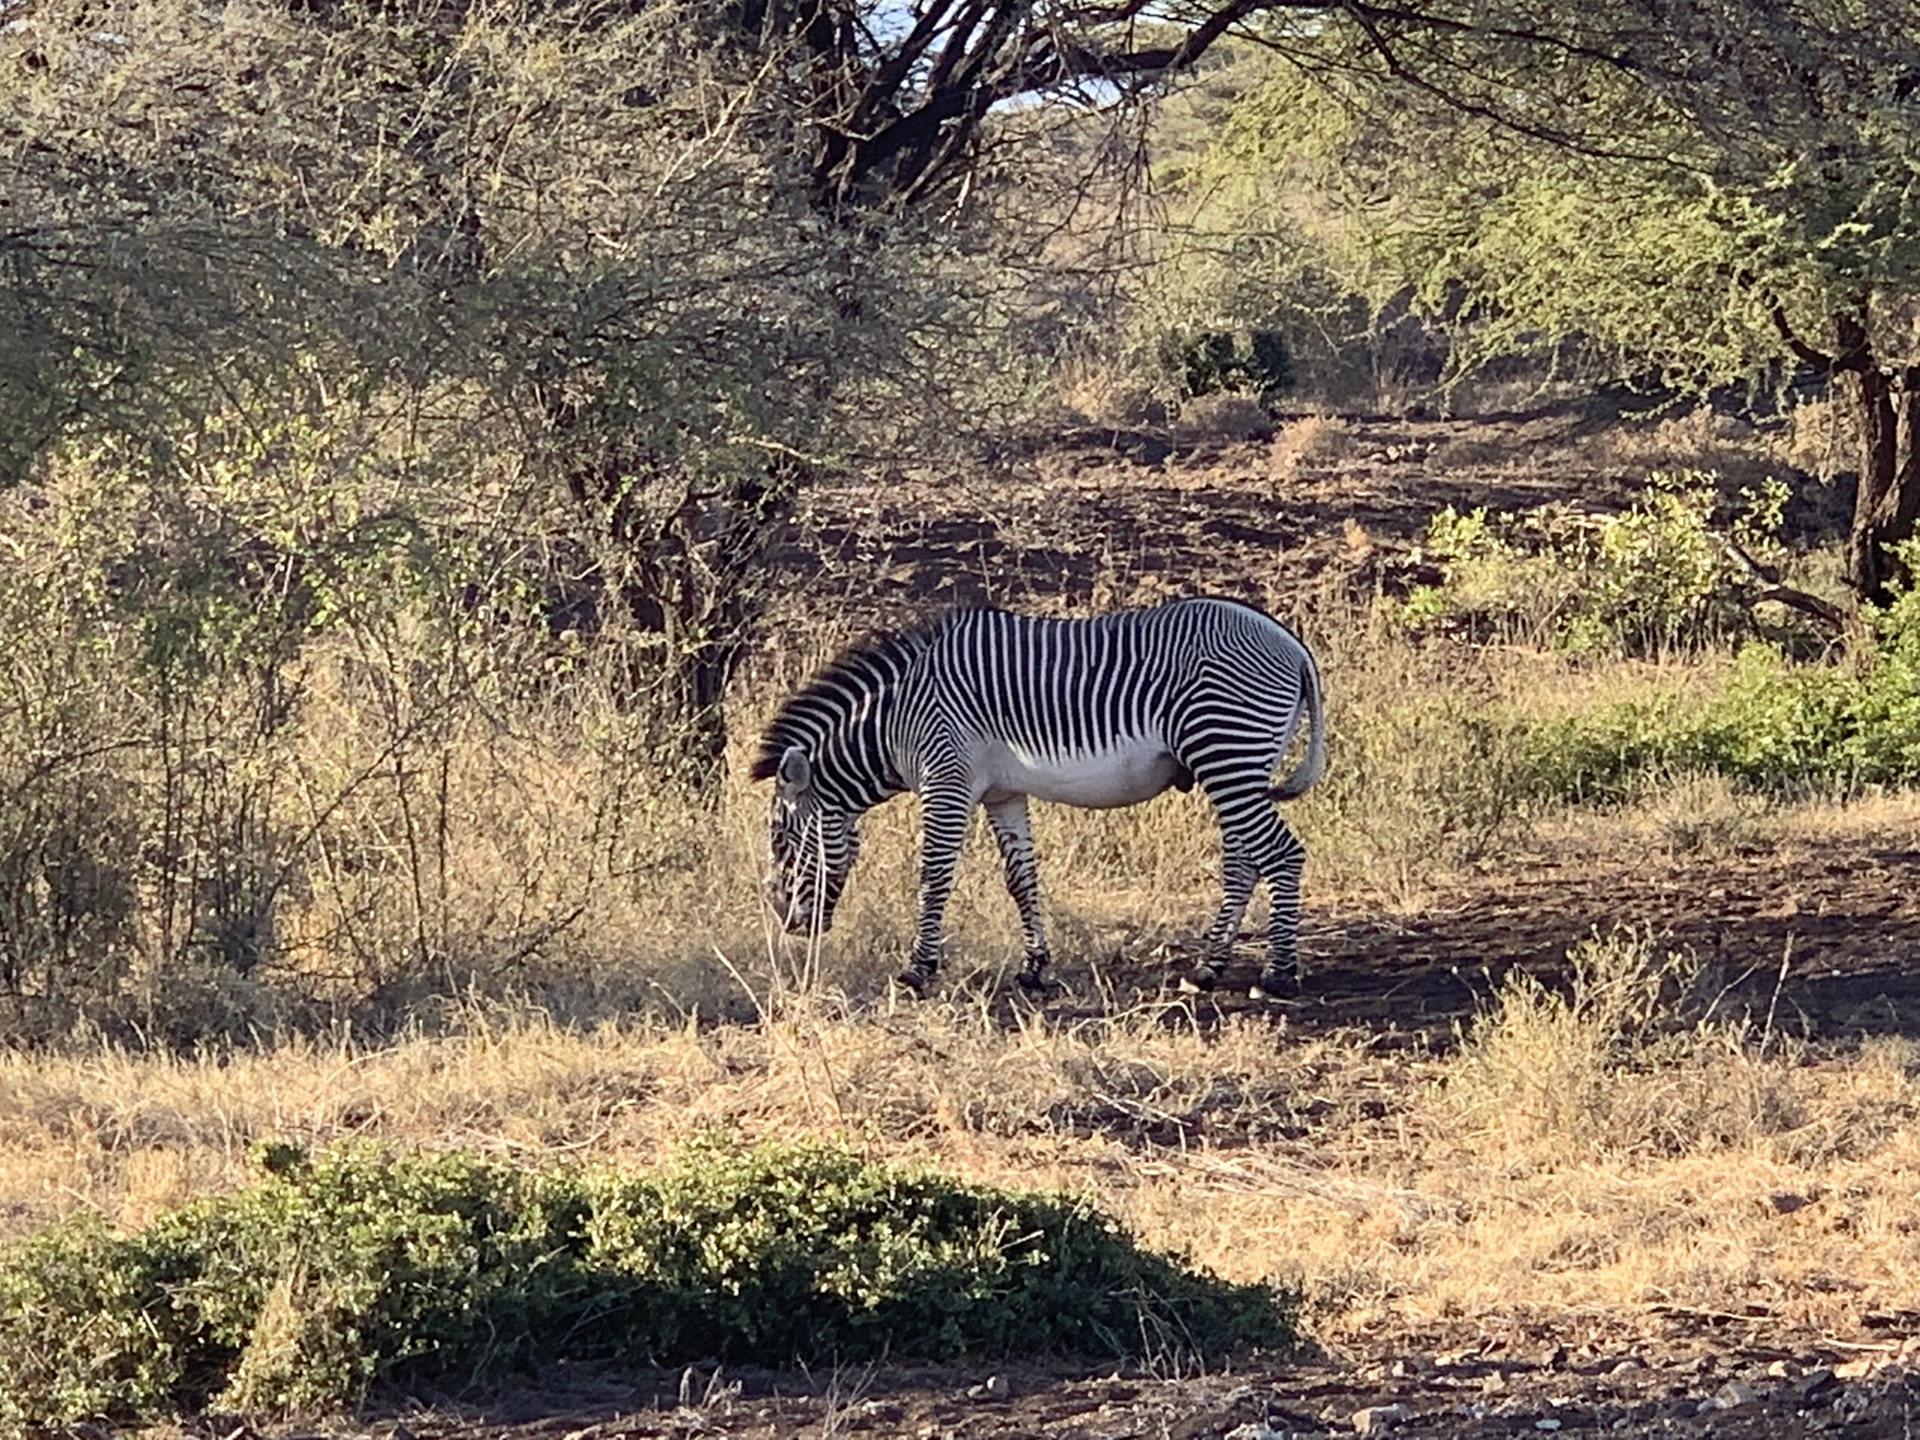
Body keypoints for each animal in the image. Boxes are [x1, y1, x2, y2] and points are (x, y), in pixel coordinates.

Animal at [748, 595, 1320, 990]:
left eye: (779, 839)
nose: (787, 923)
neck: (895, 719)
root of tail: (1290, 643)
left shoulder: (946, 780)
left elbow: (934, 876)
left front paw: (917, 969)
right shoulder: (1002, 793)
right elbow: (1021, 879)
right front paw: (1034, 968)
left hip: (1226, 753)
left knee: (1281, 854)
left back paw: (1278, 973)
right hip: (1233, 765)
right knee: (1243, 861)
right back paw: (1209, 966)